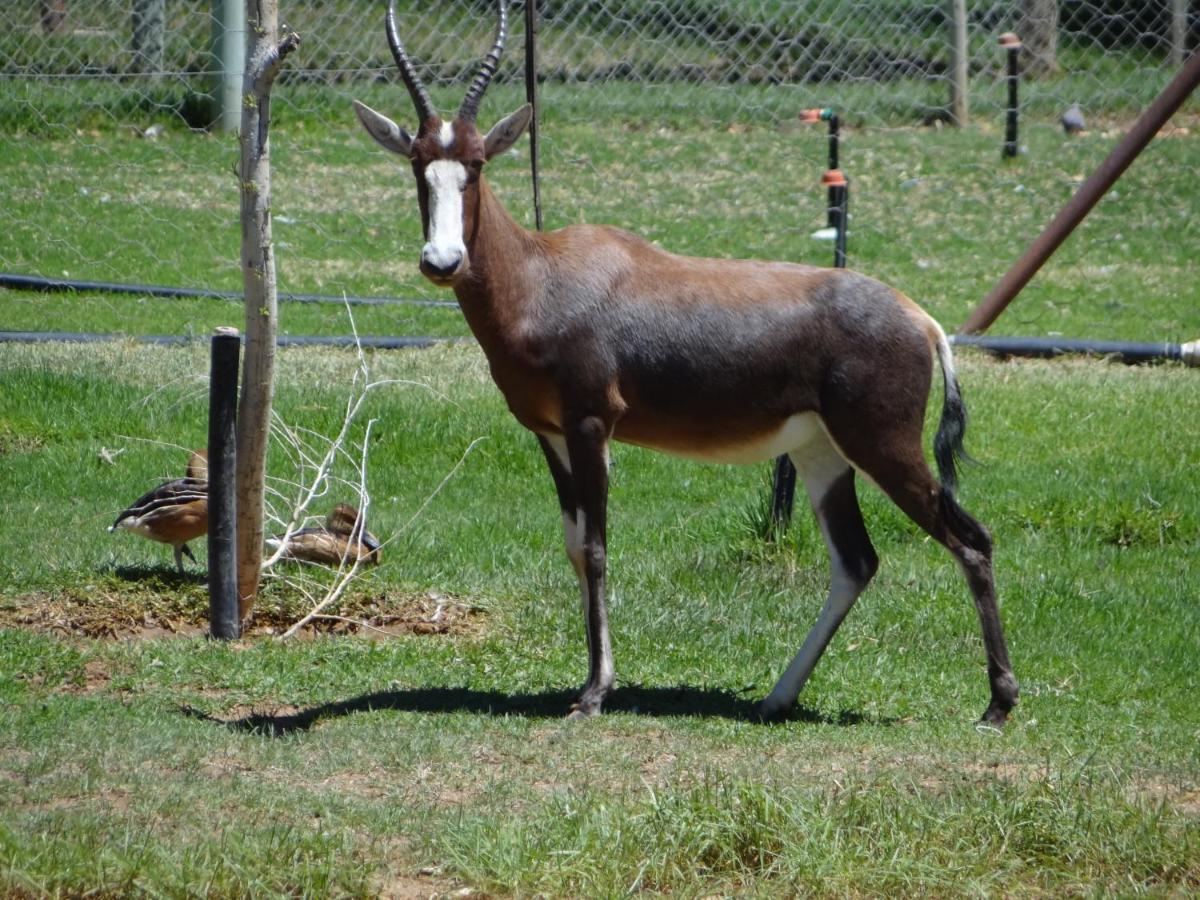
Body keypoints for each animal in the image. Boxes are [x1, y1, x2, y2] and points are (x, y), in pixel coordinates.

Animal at [350, 0, 1017, 724]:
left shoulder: (592, 426)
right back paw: (777, 697)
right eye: (418, 163)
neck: (544, 275)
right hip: (820, 454)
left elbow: (597, 548)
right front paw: (589, 684)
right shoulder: (549, 434)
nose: (441, 261)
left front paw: (594, 693)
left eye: (474, 163)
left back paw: (997, 704)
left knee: (970, 539)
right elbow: (574, 548)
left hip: (884, 446)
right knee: (856, 561)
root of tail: (920, 319)